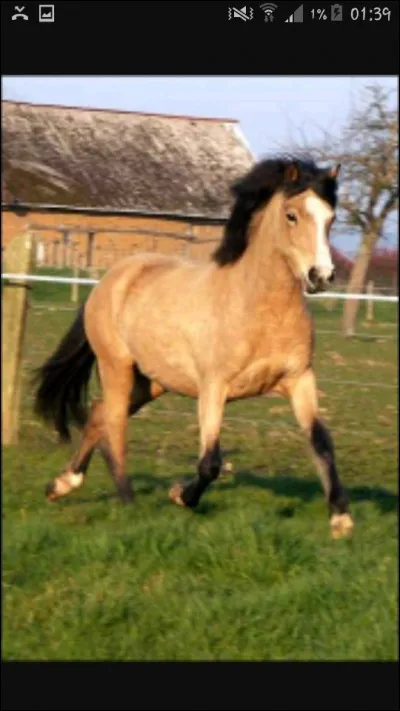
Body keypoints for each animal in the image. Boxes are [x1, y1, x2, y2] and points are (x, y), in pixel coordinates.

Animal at [33, 155, 354, 539]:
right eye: (292, 215)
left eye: (330, 218)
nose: (321, 276)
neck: (258, 306)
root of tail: (109, 280)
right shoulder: (214, 386)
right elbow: (210, 462)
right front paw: (180, 496)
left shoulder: (300, 379)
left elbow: (323, 443)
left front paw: (341, 519)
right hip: (117, 367)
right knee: (114, 424)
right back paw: (128, 501)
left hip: (153, 381)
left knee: (97, 414)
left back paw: (62, 485)